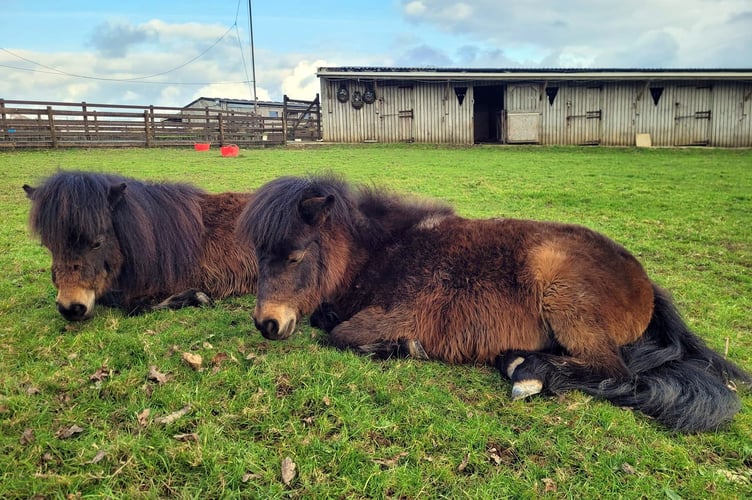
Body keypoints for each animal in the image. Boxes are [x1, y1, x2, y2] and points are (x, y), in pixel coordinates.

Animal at [236, 174, 750, 433]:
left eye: (296, 254)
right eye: (257, 253)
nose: (267, 324)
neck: (386, 252)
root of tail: (645, 281)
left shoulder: (399, 312)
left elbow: (341, 335)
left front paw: (403, 348)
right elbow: (327, 322)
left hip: (564, 297)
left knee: (614, 371)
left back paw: (529, 373)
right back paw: (518, 363)